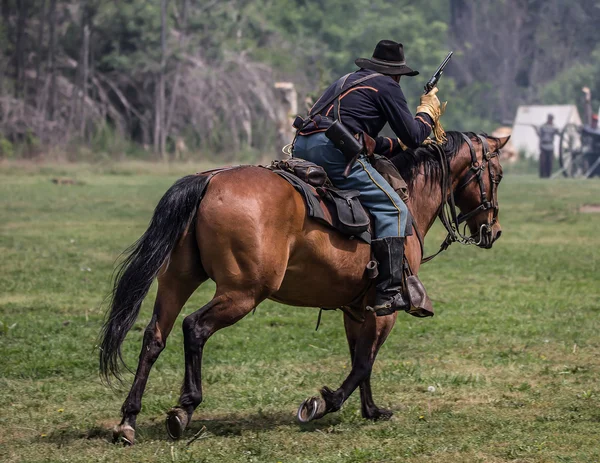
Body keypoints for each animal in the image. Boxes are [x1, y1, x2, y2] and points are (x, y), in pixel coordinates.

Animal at [101, 131, 508, 446]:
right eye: (499, 174)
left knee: (154, 337)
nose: (494, 230)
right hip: (242, 293)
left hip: (178, 281)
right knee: (194, 328)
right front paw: (322, 404)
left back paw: (128, 421)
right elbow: (363, 362)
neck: (407, 198)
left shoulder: (358, 309)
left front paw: (371, 410)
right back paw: (184, 408)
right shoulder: (386, 309)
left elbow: (361, 359)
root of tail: (210, 181)